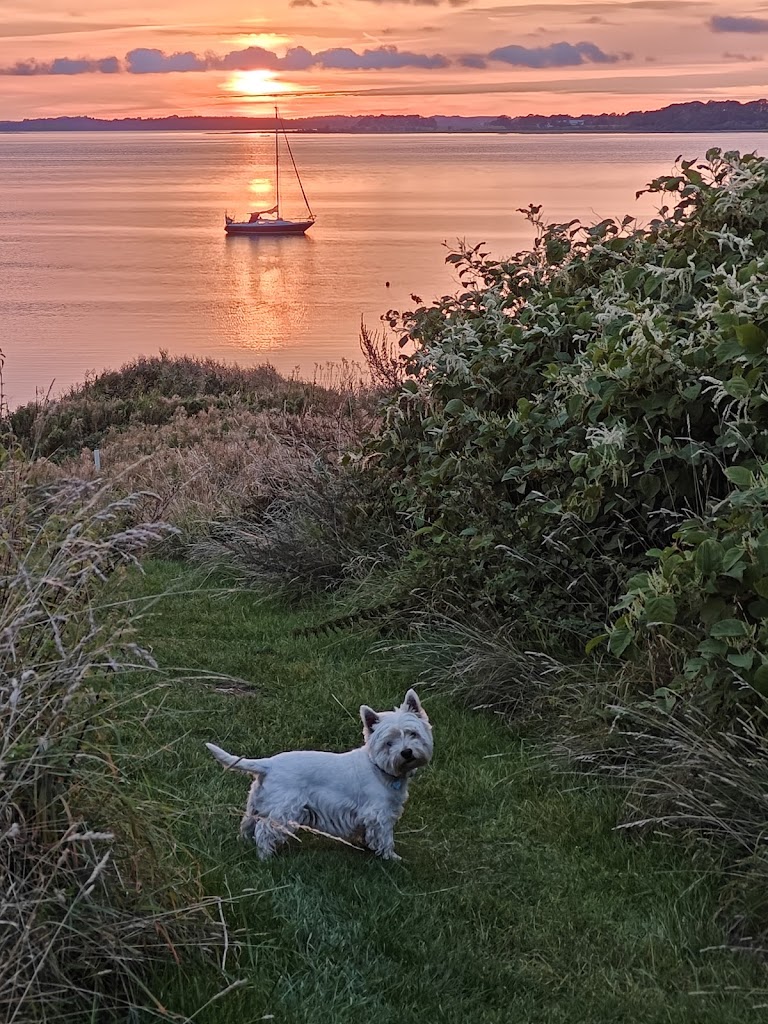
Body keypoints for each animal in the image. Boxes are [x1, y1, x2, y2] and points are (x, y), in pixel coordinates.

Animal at [204, 692, 434, 860]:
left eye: (412, 733)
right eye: (389, 742)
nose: (406, 752)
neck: (379, 768)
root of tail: (268, 764)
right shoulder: (379, 812)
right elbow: (385, 836)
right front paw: (392, 857)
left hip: (257, 801)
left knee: (248, 823)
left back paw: (244, 843)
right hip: (284, 808)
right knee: (264, 829)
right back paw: (265, 857)